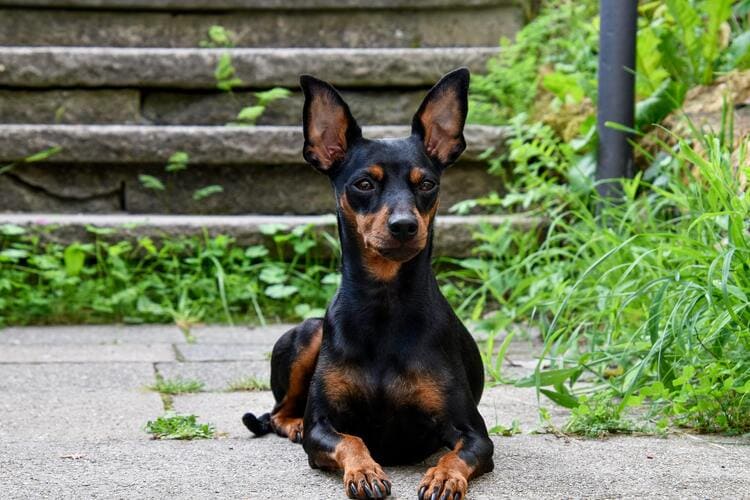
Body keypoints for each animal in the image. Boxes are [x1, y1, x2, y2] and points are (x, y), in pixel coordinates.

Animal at [244, 67, 496, 500]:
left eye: (427, 184)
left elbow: (457, 454)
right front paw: (364, 472)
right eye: (364, 184)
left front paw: (444, 477)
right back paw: (292, 424)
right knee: (277, 413)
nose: (404, 226)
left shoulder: (475, 434)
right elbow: (352, 440)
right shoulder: (324, 427)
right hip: (309, 333)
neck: (384, 302)